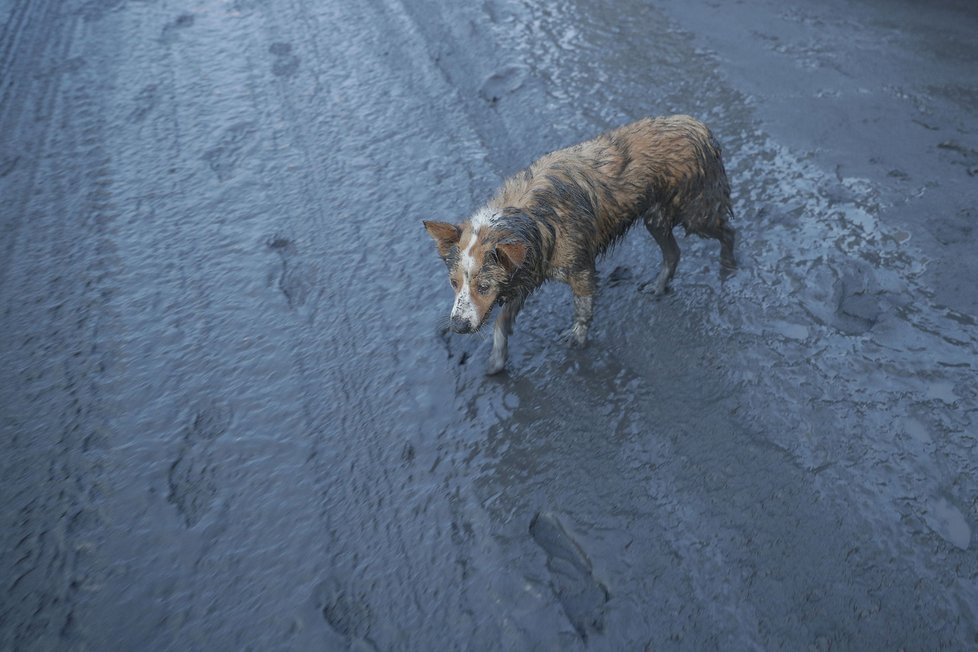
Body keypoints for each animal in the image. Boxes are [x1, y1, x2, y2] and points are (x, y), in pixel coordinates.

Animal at [420, 114, 732, 374]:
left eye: (483, 287)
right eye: (454, 283)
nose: (457, 326)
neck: (527, 217)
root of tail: (698, 125)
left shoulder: (581, 271)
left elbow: (583, 310)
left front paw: (578, 338)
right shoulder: (524, 275)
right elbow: (500, 324)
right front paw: (497, 360)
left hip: (696, 214)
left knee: (728, 231)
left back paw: (729, 268)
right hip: (656, 219)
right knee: (674, 253)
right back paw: (659, 286)